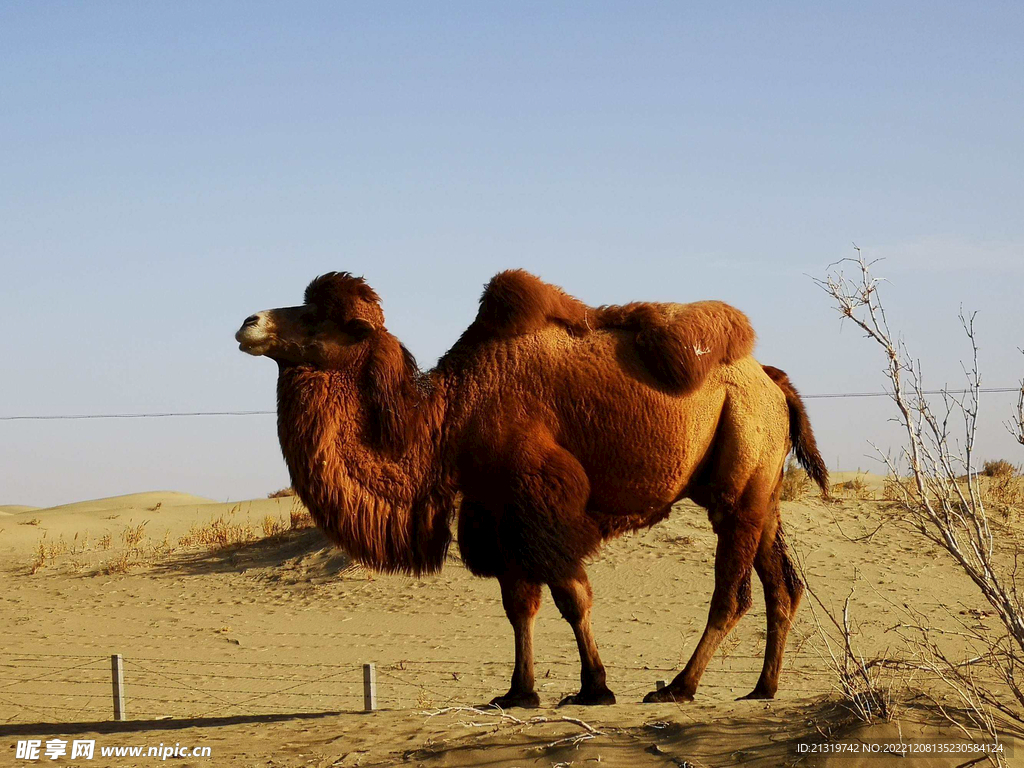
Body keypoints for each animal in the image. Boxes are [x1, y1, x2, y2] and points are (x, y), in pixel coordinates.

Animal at [235, 270, 827, 708]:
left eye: (319, 316)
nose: (248, 322)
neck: (448, 416)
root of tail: (771, 380)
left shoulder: (541, 500)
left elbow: (572, 595)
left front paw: (594, 689)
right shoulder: (496, 509)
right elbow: (519, 604)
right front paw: (518, 693)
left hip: (739, 473)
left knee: (732, 592)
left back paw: (680, 688)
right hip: (761, 491)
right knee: (782, 585)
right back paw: (762, 688)